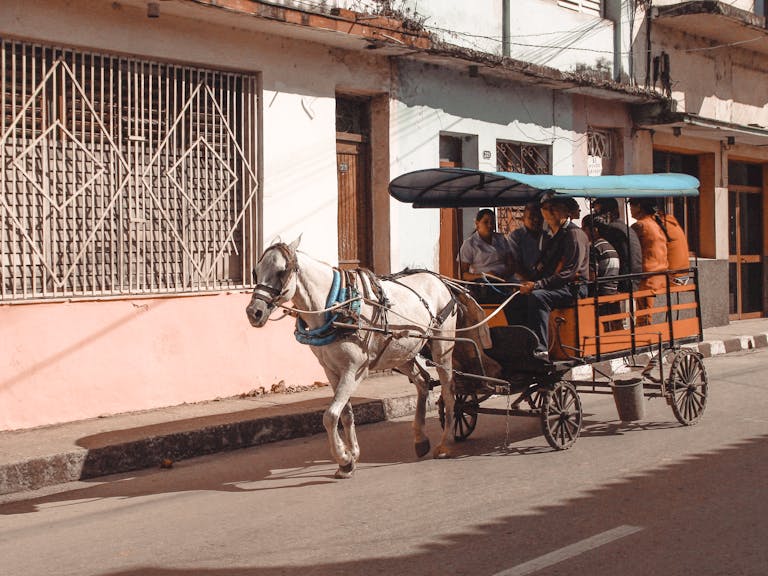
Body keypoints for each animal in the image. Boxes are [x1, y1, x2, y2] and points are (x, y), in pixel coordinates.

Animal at [244, 237, 462, 476]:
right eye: (255, 271)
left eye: (282, 271)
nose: (254, 312)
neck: (334, 306)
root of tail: (439, 279)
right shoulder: (330, 370)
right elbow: (345, 413)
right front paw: (351, 457)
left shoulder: (354, 369)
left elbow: (330, 415)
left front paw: (343, 458)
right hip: (401, 352)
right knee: (423, 381)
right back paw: (420, 440)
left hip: (442, 348)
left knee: (449, 392)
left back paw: (446, 444)